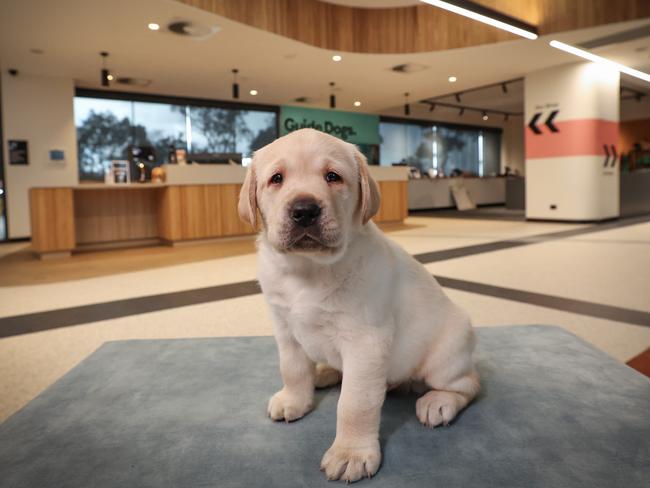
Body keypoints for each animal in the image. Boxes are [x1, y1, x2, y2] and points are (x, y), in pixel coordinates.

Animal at [237, 127, 476, 482]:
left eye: (333, 176)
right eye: (277, 178)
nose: (304, 210)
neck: (307, 270)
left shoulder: (366, 342)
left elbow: (355, 403)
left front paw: (351, 453)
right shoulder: (285, 328)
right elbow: (292, 369)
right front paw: (295, 399)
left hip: (445, 357)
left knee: (469, 384)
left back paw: (439, 402)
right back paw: (324, 372)